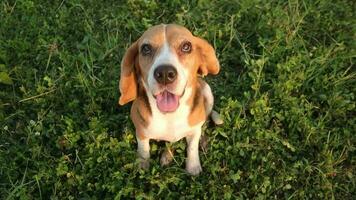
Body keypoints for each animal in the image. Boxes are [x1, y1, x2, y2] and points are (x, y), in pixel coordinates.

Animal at [119, 23, 222, 175]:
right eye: (146, 48)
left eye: (186, 46)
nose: (165, 73)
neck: (170, 116)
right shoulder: (141, 132)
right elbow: (143, 149)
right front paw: (142, 164)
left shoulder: (193, 131)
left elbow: (192, 147)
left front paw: (193, 166)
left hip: (207, 92)